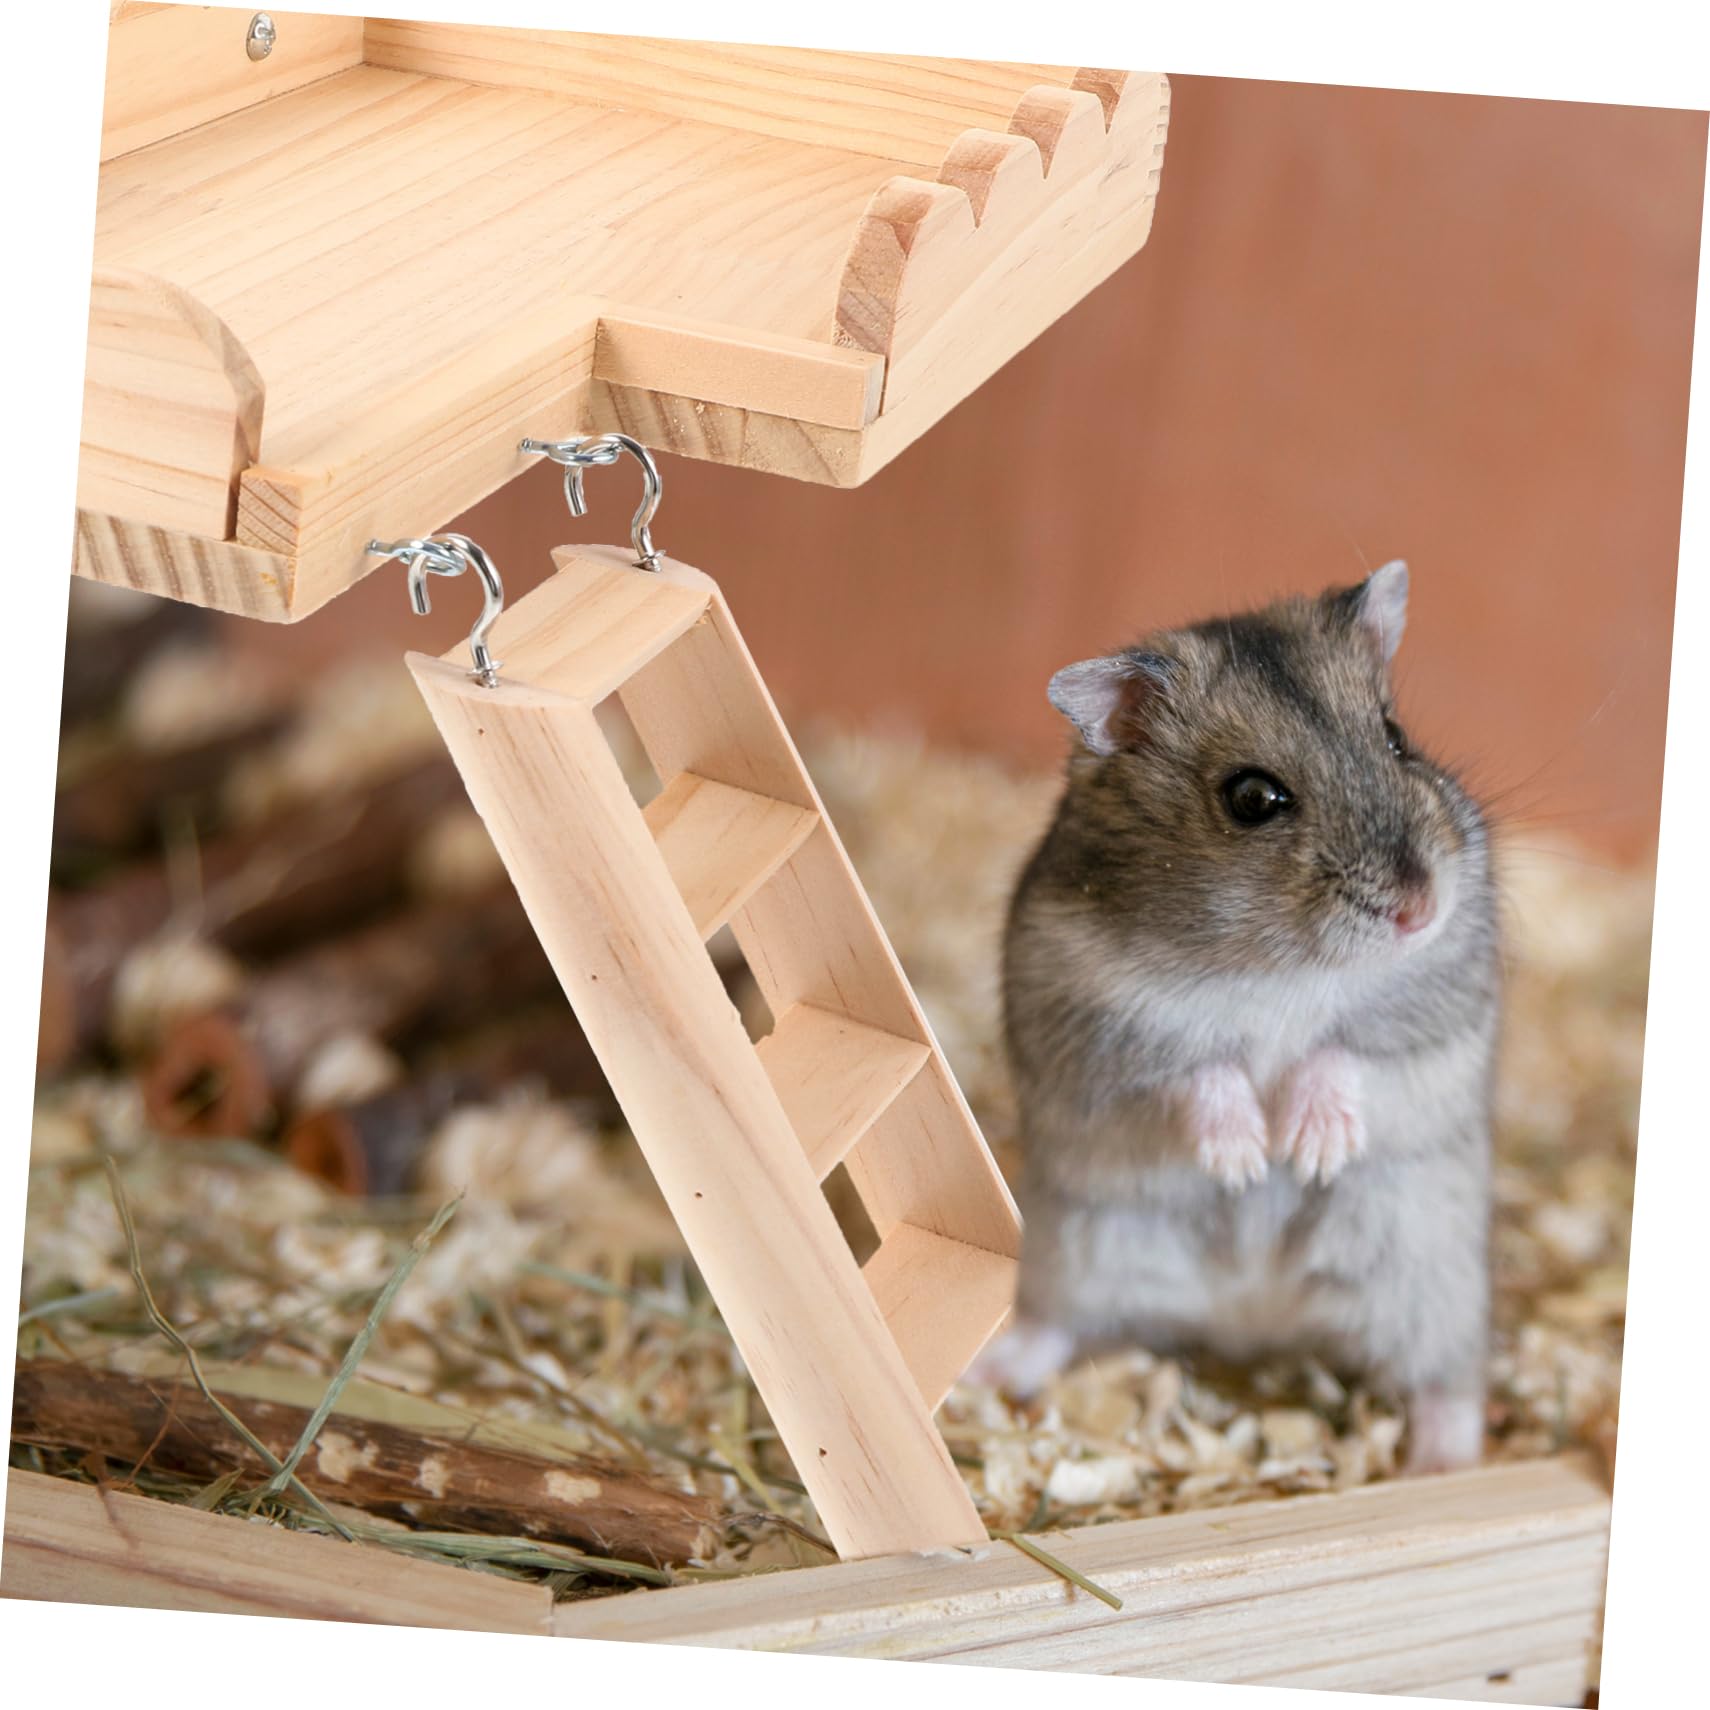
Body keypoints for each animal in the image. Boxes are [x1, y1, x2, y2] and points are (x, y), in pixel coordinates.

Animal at [979, 561, 1499, 1474]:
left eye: (1396, 736)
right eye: (1253, 798)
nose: (1420, 910)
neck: (1278, 964)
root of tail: (1253, 1323)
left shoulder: (1438, 1004)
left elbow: (1342, 1052)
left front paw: (1310, 1148)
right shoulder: (1098, 1023)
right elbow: (1201, 1068)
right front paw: (1246, 1162)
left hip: (1431, 1279)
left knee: (1446, 1383)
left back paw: (1443, 1465)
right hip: (1072, 1251)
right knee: (1056, 1326)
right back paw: (984, 1377)